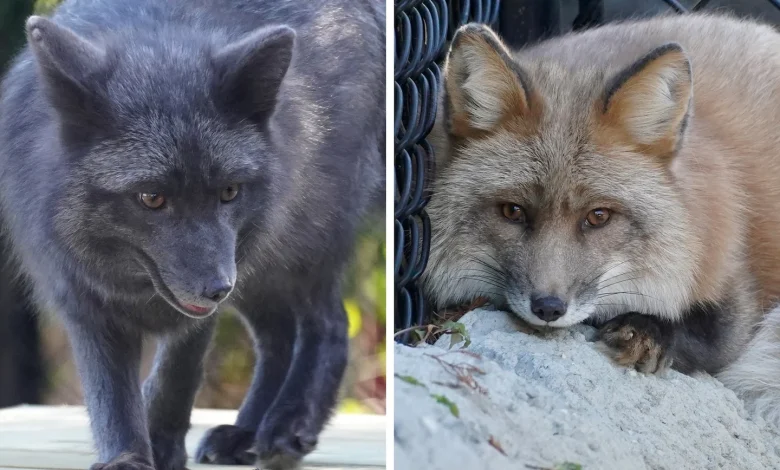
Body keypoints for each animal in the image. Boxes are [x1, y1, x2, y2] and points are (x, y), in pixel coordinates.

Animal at [0, 0, 384, 469]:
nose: (218, 289)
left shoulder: (203, 305)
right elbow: (109, 394)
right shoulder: (82, 297)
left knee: (328, 324)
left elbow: (175, 376)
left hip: (289, 250)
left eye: (229, 192)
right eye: (151, 197)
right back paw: (245, 433)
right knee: (278, 337)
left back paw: (289, 424)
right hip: (255, 269)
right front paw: (126, 455)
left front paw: (163, 446)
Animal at [422, 13, 780, 427]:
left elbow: (714, 342)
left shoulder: (733, 282)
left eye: (598, 216)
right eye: (513, 211)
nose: (548, 308)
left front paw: (647, 331)